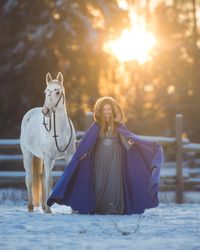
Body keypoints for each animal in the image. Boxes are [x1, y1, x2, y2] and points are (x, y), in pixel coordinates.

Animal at [19, 72, 76, 213]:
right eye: (46, 92)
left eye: (57, 92)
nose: (45, 111)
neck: (59, 130)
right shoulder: (48, 156)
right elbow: (49, 181)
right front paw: (49, 210)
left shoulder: (69, 155)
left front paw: (73, 210)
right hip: (28, 154)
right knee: (29, 179)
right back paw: (31, 207)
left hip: (49, 159)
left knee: (42, 177)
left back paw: (44, 206)